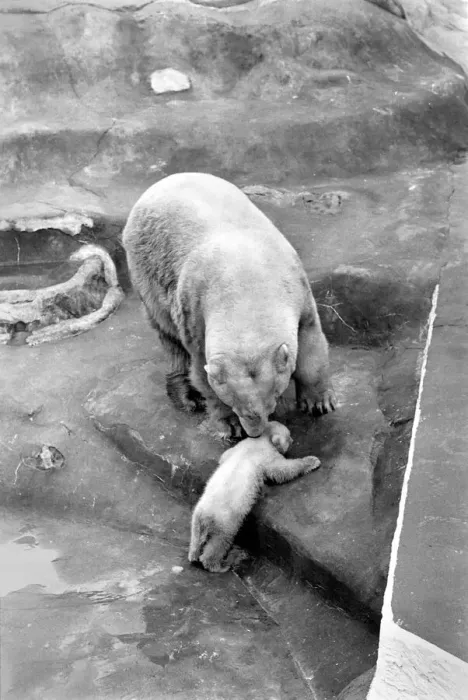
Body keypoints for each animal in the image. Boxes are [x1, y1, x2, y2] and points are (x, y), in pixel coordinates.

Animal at [122, 172, 336, 441]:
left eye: (274, 395)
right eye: (234, 403)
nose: (255, 431)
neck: (245, 281)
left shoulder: (297, 287)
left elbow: (310, 342)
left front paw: (319, 403)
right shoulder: (194, 310)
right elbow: (202, 372)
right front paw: (229, 424)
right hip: (147, 267)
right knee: (168, 334)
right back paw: (187, 397)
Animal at [188, 420, 321, 573]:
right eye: (289, 436)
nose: (293, 440)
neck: (261, 439)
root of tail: (204, 515)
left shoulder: (237, 448)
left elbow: (224, 456)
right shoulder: (266, 454)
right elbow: (282, 470)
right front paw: (312, 461)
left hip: (197, 518)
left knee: (196, 538)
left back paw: (193, 555)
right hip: (224, 521)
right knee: (220, 540)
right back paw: (218, 565)